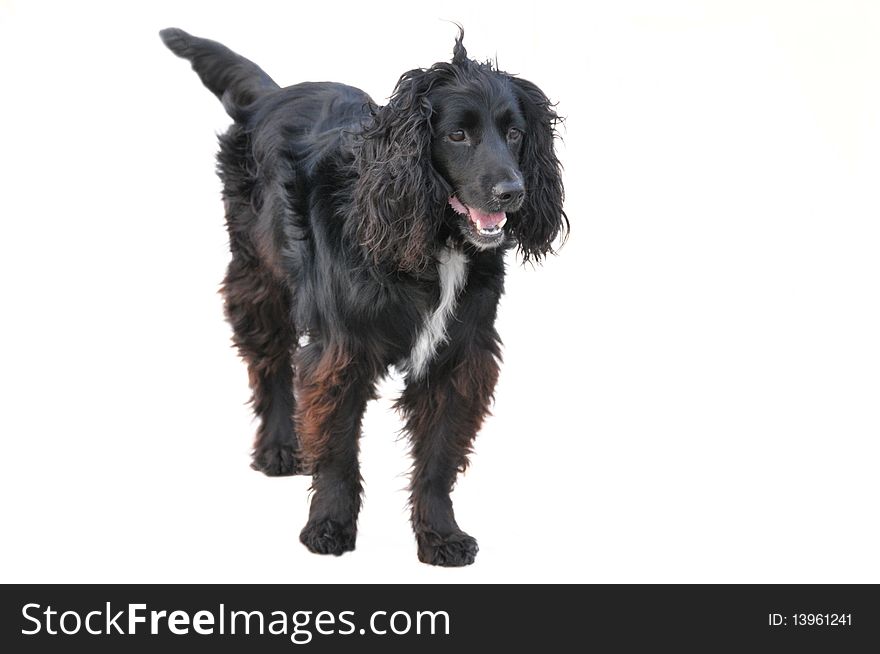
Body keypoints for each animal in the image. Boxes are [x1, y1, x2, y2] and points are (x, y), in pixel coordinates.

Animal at [161, 26, 568, 568]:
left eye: (516, 133)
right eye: (456, 135)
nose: (512, 191)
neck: (435, 238)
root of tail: (272, 94)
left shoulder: (460, 356)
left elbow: (438, 457)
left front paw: (441, 535)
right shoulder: (342, 350)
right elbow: (335, 449)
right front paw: (329, 526)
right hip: (258, 276)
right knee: (269, 364)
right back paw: (278, 447)